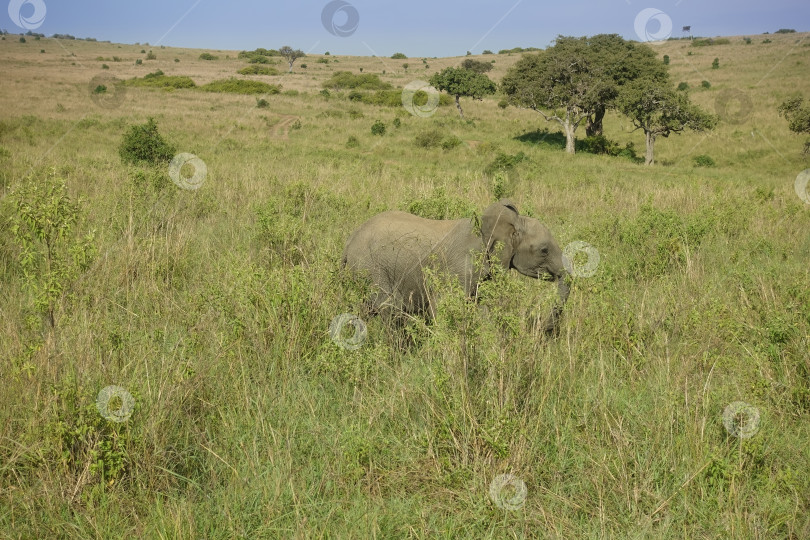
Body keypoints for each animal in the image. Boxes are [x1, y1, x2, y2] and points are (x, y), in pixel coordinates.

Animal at [340, 198, 568, 334]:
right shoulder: (461, 266)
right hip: (370, 268)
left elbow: (481, 308)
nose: (546, 329)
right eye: (544, 250)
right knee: (389, 310)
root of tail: (349, 241)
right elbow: (441, 306)